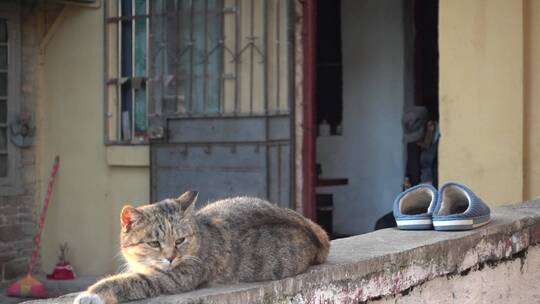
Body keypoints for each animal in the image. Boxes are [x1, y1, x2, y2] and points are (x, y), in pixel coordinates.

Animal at [74, 191, 332, 302]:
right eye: (154, 243)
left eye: (180, 240)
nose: (171, 258)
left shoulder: (174, 278)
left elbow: (128, 282)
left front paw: (91, 295)